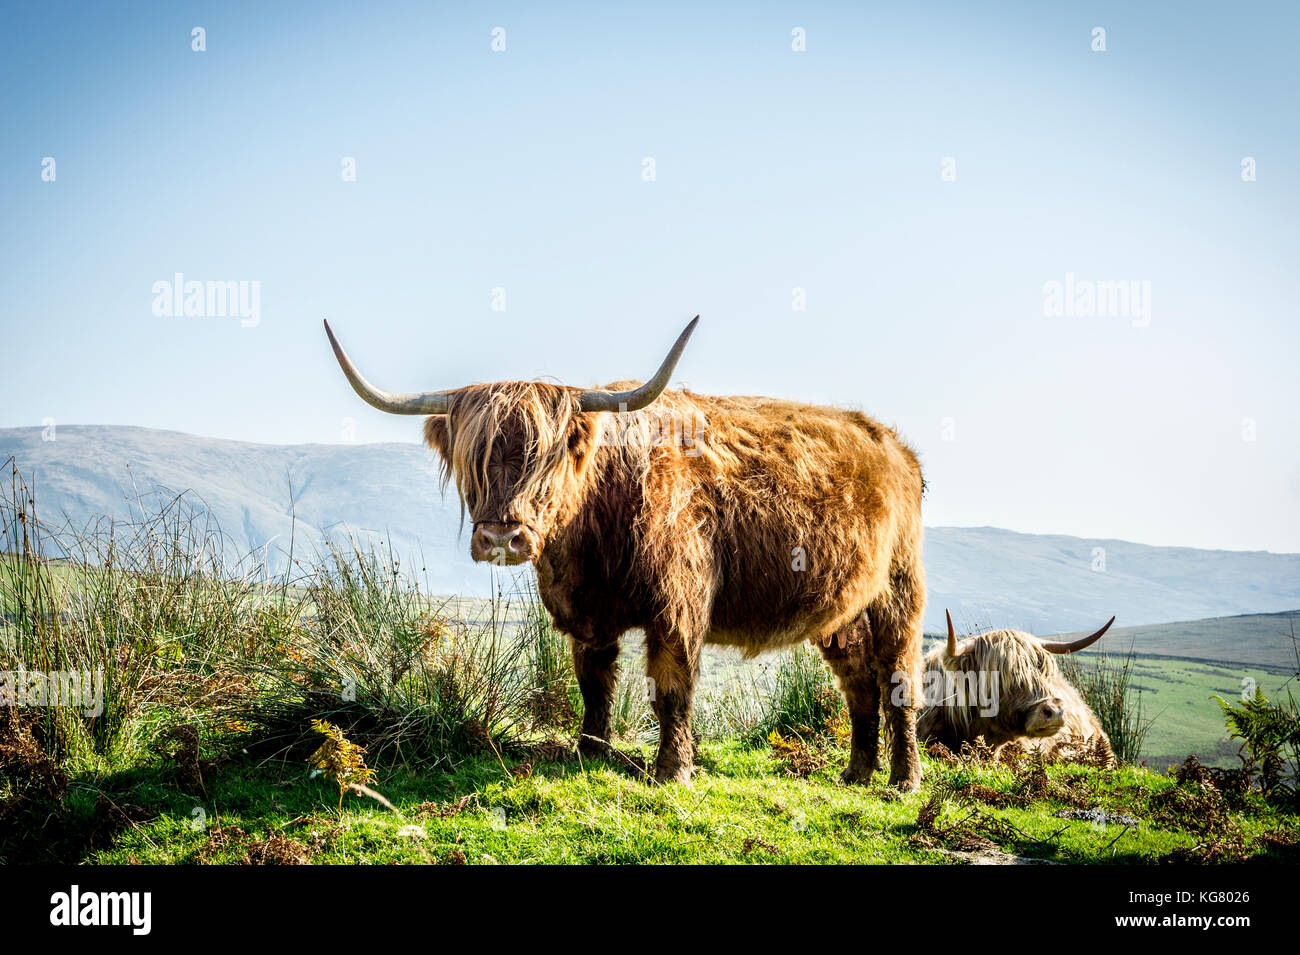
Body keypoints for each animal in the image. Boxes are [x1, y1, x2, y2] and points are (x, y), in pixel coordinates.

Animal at [330, 317, 930, 789]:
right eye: (473, 460)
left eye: (545, 459)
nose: (502, 538)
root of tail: (894, 445)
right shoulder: (585, 613)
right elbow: (594, 683)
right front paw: (589, 751)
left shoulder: (678, 607)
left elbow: (671, 687)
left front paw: (672, 771)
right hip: (842, 608)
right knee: (858, 681)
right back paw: (856, 773)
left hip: (898, 590)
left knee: (897, 678)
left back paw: (902, 780)